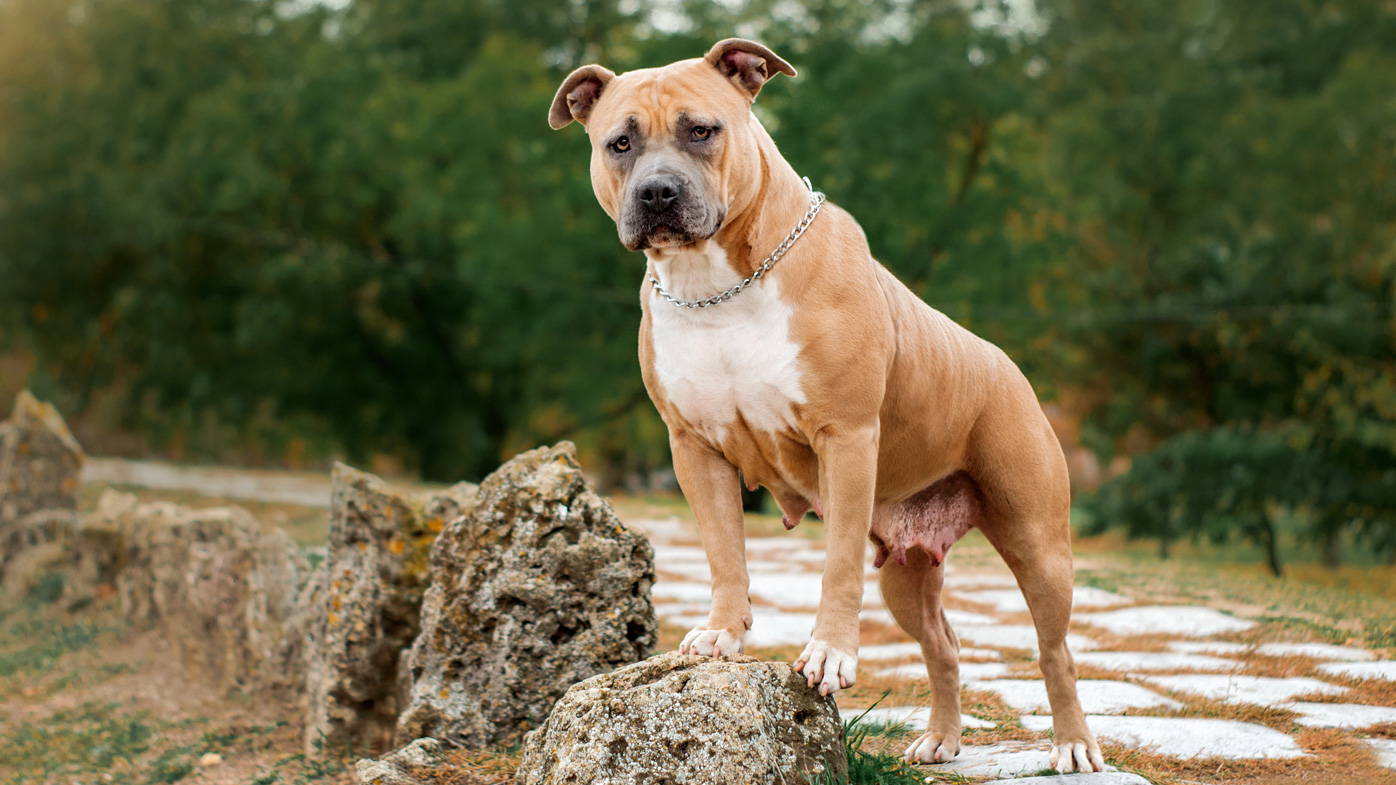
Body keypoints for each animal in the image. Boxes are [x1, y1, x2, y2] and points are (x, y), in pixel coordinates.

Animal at [550, 38, 1105, 771]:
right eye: (620, 143)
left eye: (702, 131)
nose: (657, 191)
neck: (713, 286)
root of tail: (1008, 366)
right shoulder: (693, 448)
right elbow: (724, 552)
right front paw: (721, 633)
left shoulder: (845, 439)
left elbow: (836, 564)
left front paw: (830, 653)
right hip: (907, 570)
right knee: (944, 644)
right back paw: (941, 737)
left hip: (1038, 543)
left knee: (1054, 648)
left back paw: (1072, 745)